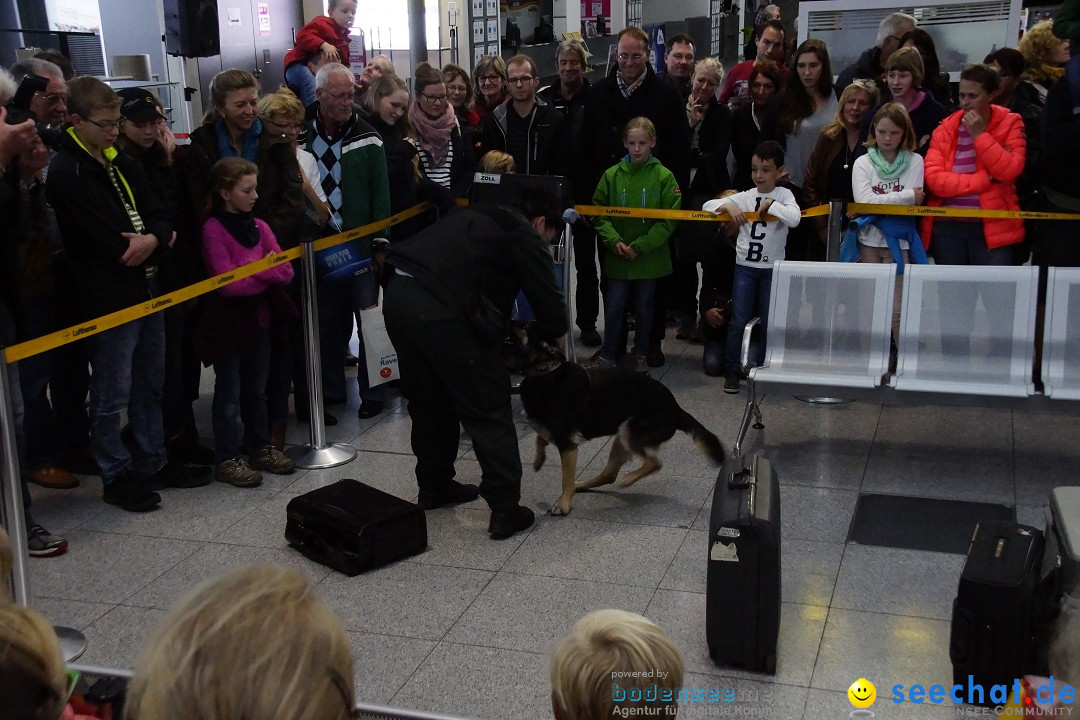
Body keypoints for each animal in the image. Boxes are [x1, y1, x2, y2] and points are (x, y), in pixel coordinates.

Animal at [516, 334, 725, 515]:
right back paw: (582, 485)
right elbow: (540, 437)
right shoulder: (553, 433)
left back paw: (628, 478)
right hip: (621, 439)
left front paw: (563, 503)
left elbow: (565, 479)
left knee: (654, 463)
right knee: (610, 474)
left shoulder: (568, 446)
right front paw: (539, 459)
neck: (545, 374)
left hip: (630, 431)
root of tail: (677, 409)